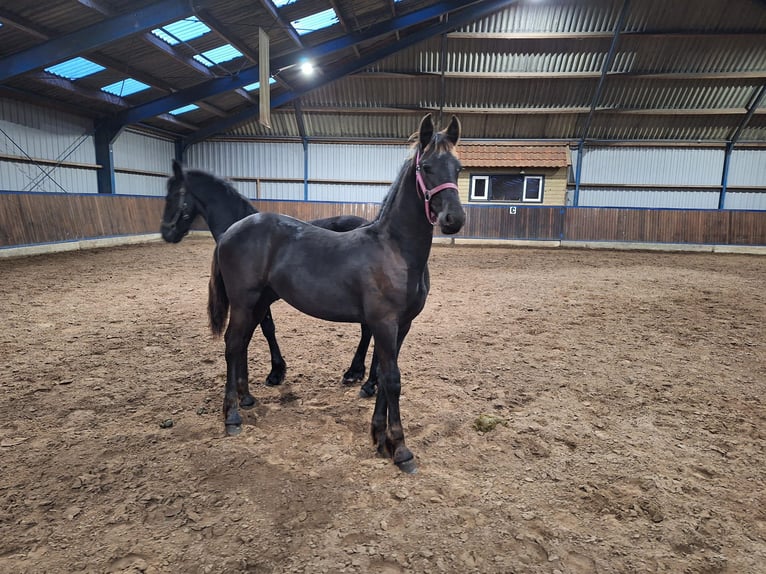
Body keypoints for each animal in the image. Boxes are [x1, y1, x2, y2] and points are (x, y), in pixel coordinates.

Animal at [162, 160, 380, 398]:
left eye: (174, 195)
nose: (166, 233)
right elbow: (265, 328)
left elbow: (266, 328)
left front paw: (275, 372)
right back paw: (357, 372)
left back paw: (360, 376)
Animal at [207, 115, 464, 474]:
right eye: (426, 167)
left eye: (458, 168)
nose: (454, 219)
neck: (395, 250)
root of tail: (230, 231)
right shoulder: (384, 323)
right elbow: (393, 379)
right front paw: (400, 449)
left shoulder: (402, 325)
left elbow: (383, 375)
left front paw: (379, 436)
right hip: (244, 302)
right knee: (232, 345)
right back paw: (231, 416)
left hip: (259, 302)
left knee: (241, 343)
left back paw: (246, 400)